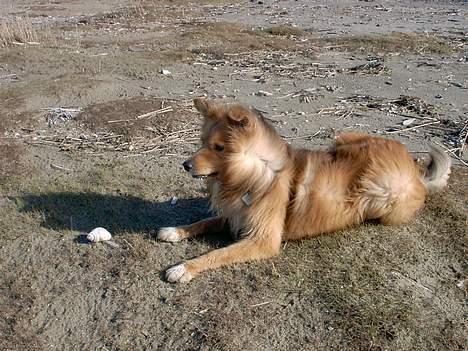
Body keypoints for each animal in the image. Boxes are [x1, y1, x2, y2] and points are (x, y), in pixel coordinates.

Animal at [159, 98, 452, 284]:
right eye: (203, 143)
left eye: (219, 148)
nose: (185, 165)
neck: (256, 173)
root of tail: (416, 173)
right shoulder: (235, 214)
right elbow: (204, 221)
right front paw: (174, 231)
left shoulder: (262, 239)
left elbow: (216, 254)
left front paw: (183, 268)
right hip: (344, 138)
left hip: (386, 198)